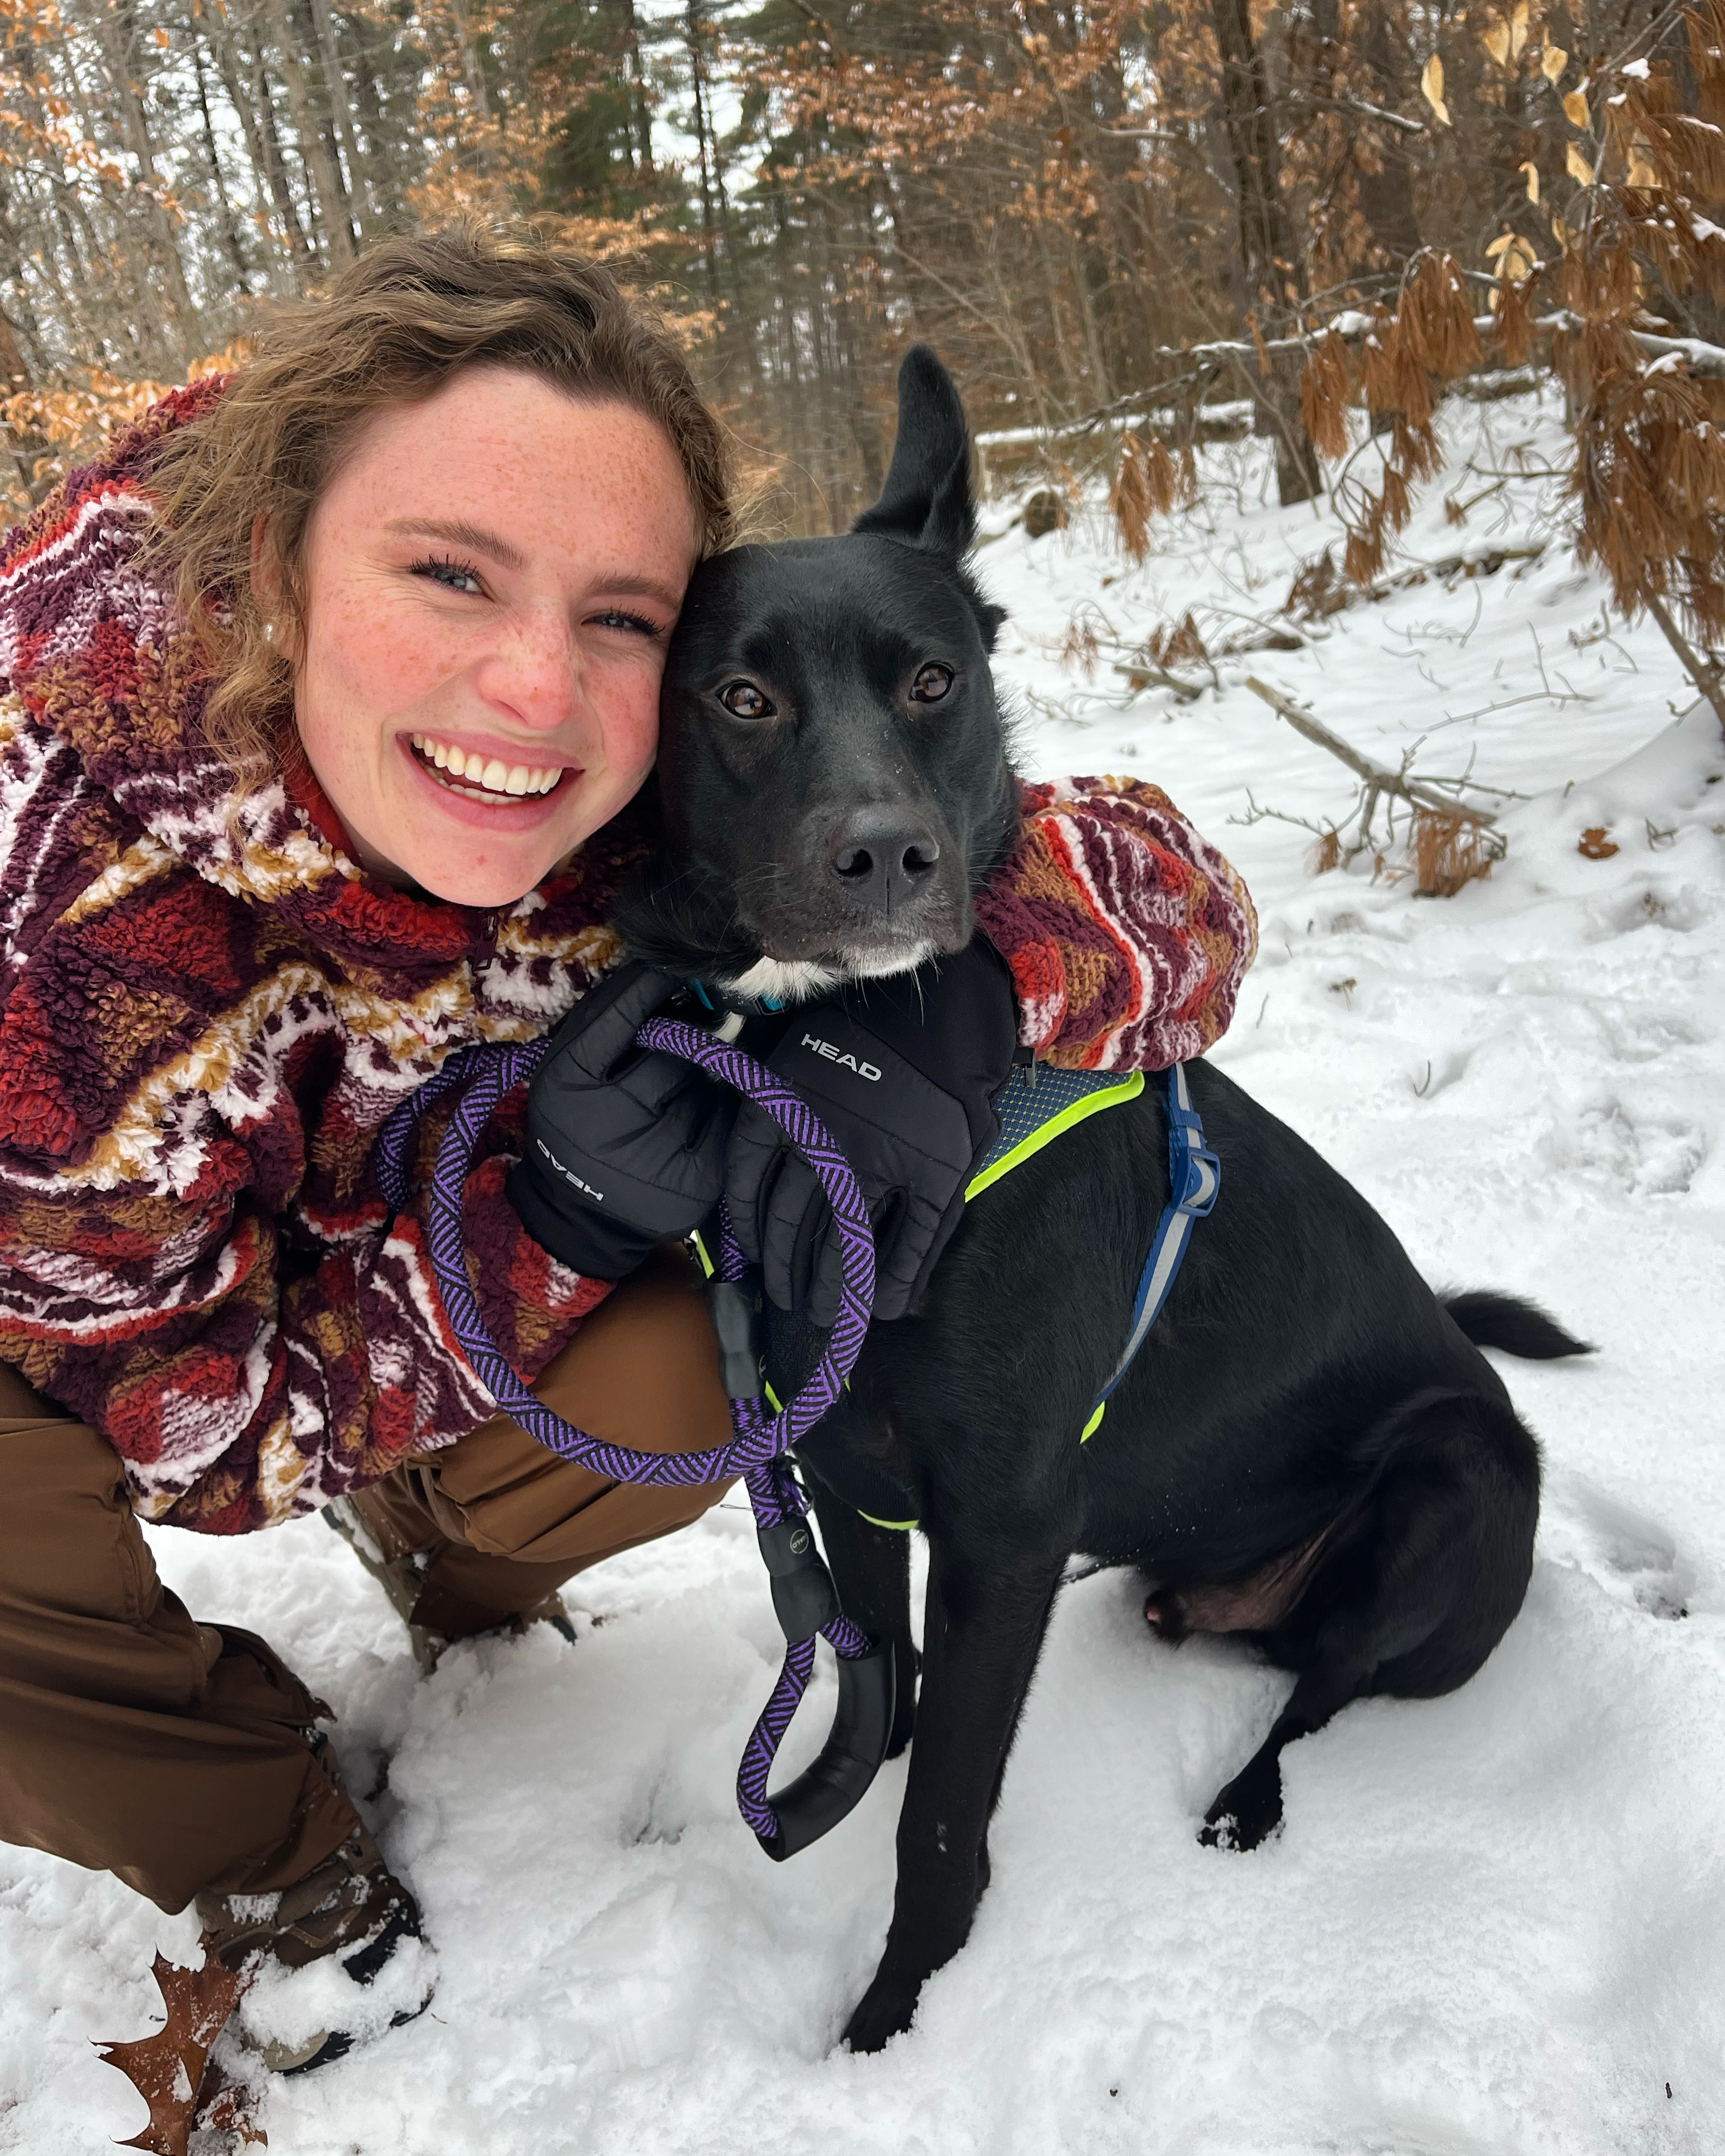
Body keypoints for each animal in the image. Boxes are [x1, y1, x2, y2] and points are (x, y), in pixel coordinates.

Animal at [621, 353, 1587, 2052]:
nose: (890, 857)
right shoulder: (849, 1470)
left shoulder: (1005, 1525)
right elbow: (886, 1695)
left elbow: (945, 1810)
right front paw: (838, 1786)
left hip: (1458, 1480)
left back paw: (1249, 1800)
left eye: (933, 680)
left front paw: (894, 2017)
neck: (824, 1077)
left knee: (1323, 1695)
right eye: (740, 698)